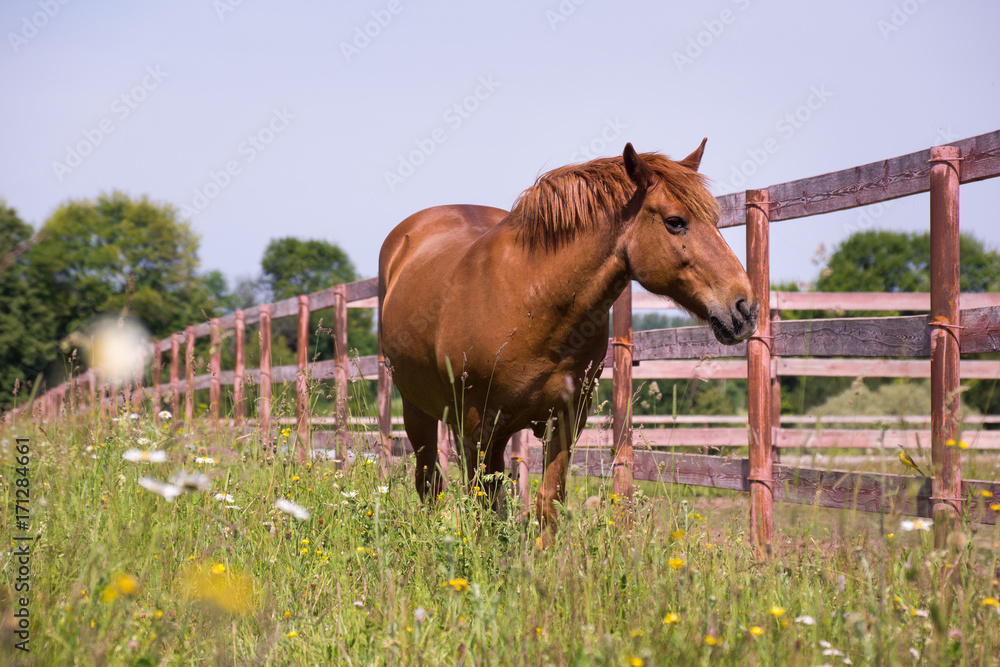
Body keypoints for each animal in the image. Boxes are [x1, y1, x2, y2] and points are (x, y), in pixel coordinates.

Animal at [377, 140, 758, 539]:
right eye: (675, 221)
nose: (745, 307)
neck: (533, 302)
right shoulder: (474, 424)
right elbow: (480, 503)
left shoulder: (566, 418)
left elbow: (547, 501)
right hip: (419, 410)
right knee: (429, 482)